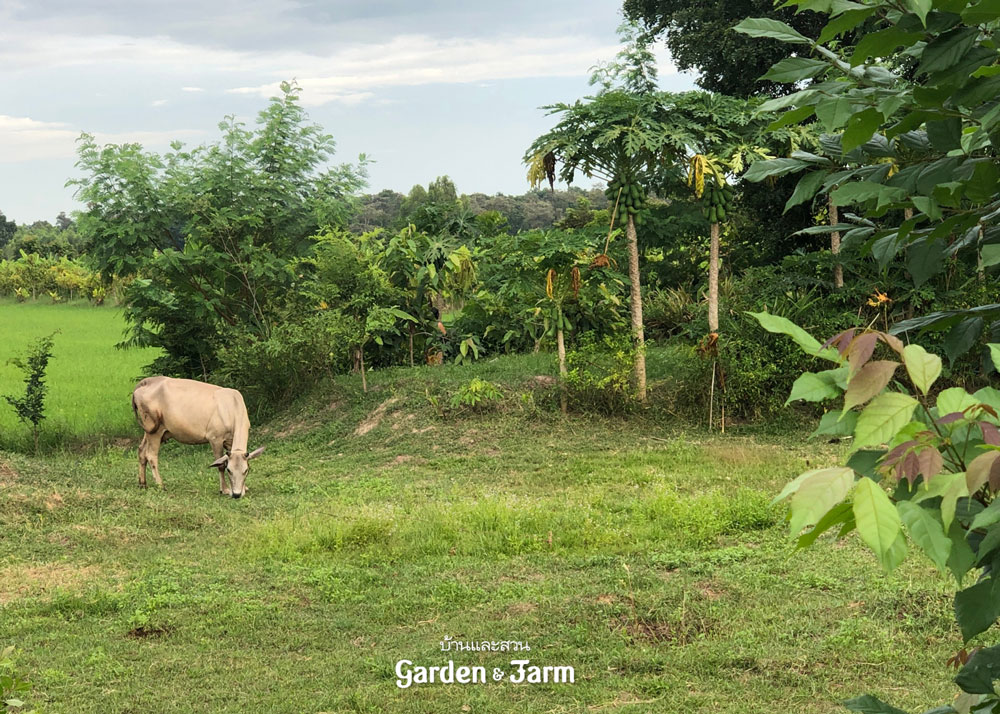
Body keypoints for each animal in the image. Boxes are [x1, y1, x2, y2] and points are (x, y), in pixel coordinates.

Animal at [132, 376, 266, 498]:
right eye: (229, 470)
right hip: (155, 430)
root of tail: (148, 381)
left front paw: (244, 488)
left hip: (151, 431)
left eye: (246, 470)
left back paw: (142, 483)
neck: (232, 407)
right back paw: (161, 485)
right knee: (151, 455)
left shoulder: (230, 441)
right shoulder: (215, 438)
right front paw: (224, 489)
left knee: (141, 451)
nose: (237, 494)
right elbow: (220, 465)